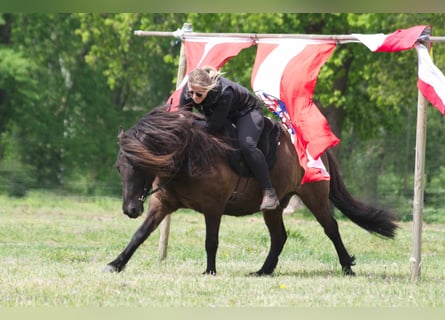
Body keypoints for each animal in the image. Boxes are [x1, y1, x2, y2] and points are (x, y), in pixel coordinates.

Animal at [106, 106, 398, 276]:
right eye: (119, 167)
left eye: (140, 165)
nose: (130, 209)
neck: (191, 155)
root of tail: (316, 149)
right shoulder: (162, 205)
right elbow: (140, 235)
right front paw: (116, 263)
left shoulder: (213, 208)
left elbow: (211, 241)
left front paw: (210, 271)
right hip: (275, 206)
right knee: (279, 237)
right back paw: (263, 271)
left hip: (314, 197)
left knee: (331, 228)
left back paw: (347, 266)